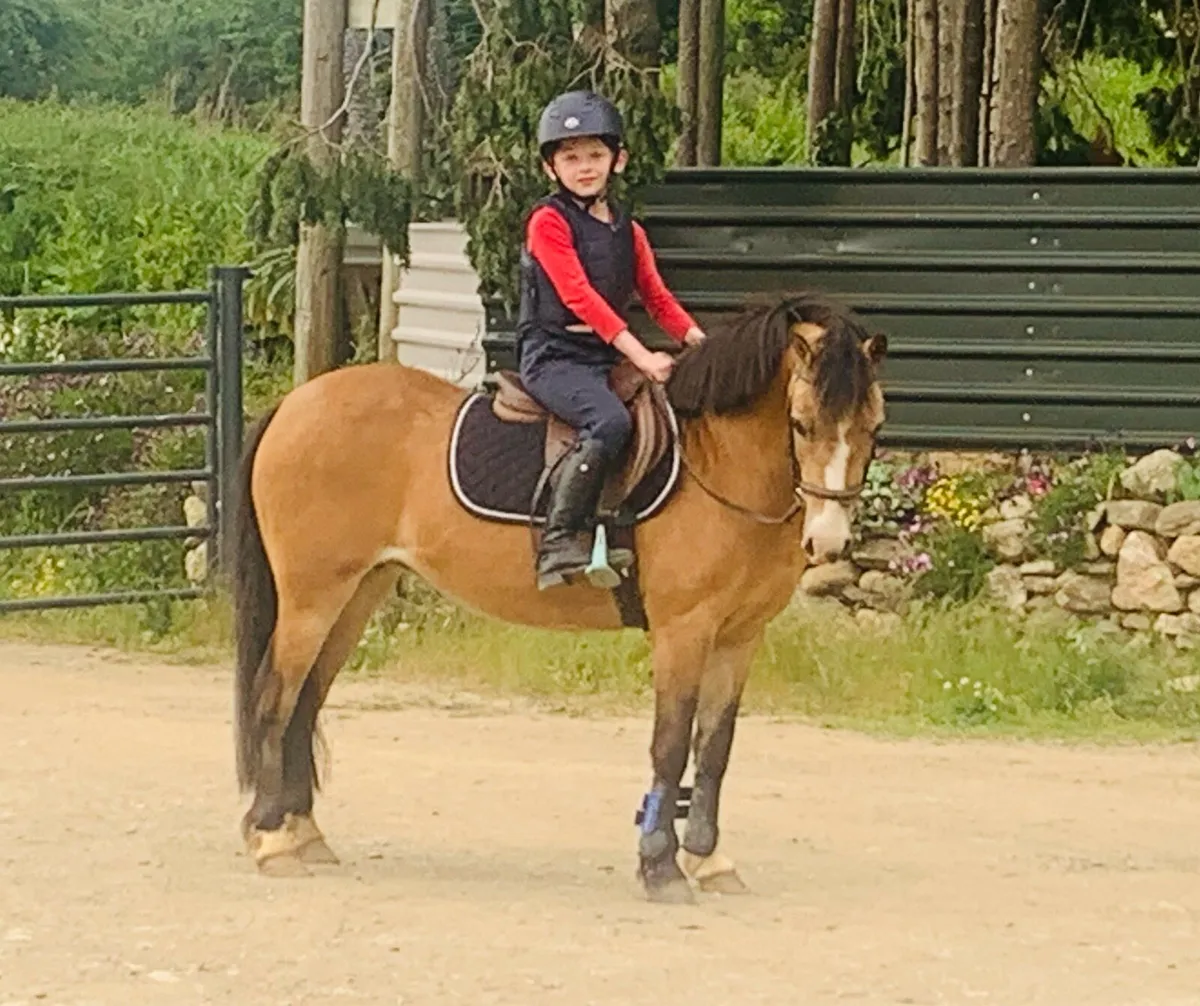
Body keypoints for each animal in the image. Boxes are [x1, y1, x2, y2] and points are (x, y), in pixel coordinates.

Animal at [230, 291, 888, 903]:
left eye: (873, 428)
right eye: (801, 424)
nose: (828, 540)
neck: (715, 461)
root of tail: (297, 403)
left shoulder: (739, 637)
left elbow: (715, 748)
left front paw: (709, 859)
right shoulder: (684, 631)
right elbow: (671, 744)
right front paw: (660, 867)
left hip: (356, 593)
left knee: (307, 701)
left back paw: (304, 833)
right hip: (312, 599)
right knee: (274, 699)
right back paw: (271, 840)